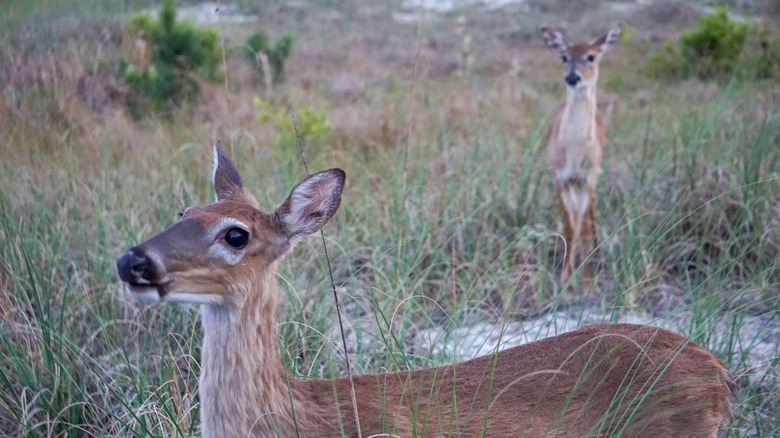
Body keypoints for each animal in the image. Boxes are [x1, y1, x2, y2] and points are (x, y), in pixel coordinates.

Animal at [544, 24, 620, 284]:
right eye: (564, 57)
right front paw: (565, 277)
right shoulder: (560, 177)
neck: (575, 152)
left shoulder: (587, 177)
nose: (572, 77)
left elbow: (583, 227)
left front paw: (587, 282)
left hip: (593, 178)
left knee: (590, 213)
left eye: (591, 56)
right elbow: (570, 226)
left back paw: (597, 250)